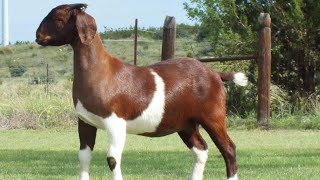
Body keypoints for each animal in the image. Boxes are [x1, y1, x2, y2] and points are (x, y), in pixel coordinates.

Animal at [36, 3, 246, 180]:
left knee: (229, 149)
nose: (38, 36)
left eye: (59, 19)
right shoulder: (86, 122)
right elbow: (84, 157)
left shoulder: (116, 122)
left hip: (213, 116)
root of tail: (215, 74)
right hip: (185, 123)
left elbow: (112, 159)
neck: (101, 71)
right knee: (201, 149)